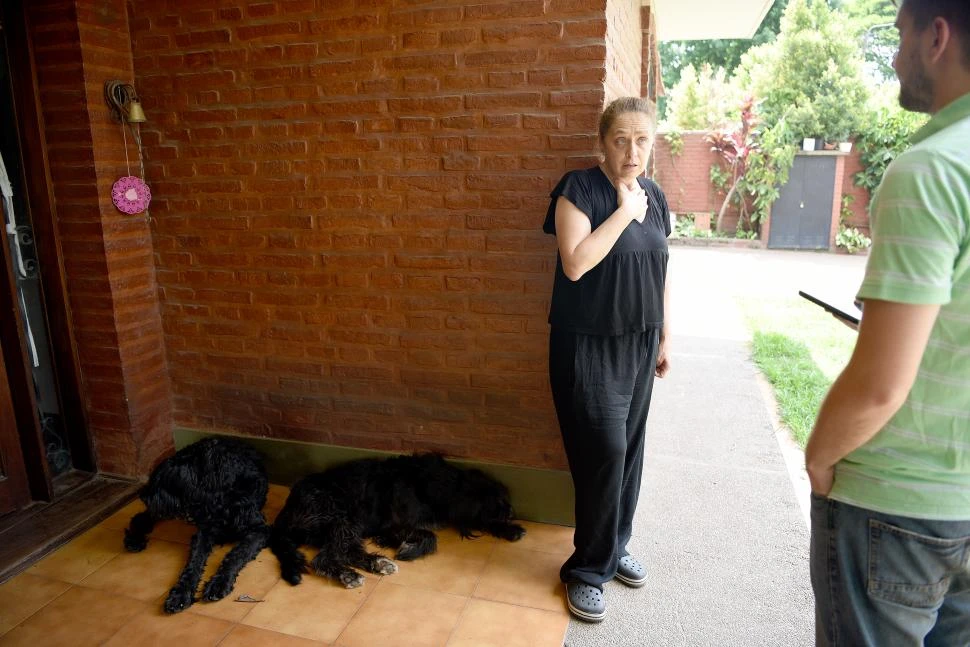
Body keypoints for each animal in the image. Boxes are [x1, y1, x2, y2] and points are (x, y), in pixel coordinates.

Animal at [124, 436, 272, 612]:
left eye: (161, 480)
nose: (142, 495)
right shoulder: (205, 532)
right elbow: (194, 562)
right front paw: (180, 594)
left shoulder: (258, 530)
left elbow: (236, 554)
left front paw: (219, 583)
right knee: (141, 517)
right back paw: (134, 540)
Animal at [268, 456, 524, 588]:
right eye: (497, 503)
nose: (510, 511)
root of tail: (285, 512)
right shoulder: (393, 525)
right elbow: (430, 536)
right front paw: (409, 551)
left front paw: (510, 529)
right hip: (340, 516)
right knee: (325, 558)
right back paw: (348, 575)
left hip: (347, 524)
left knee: (348, 551)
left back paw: (379, 563)